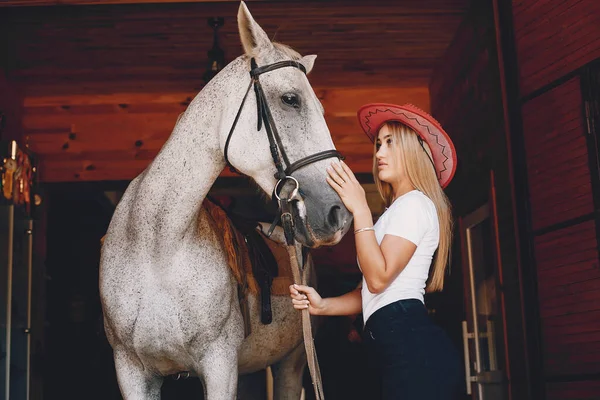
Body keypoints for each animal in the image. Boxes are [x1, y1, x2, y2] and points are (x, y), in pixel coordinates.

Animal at [98, 2, 352, 396]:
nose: (338, 213)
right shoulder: (131, 372)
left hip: (291, 365)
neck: (157, 246)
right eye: (290, 99)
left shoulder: (219, 367)